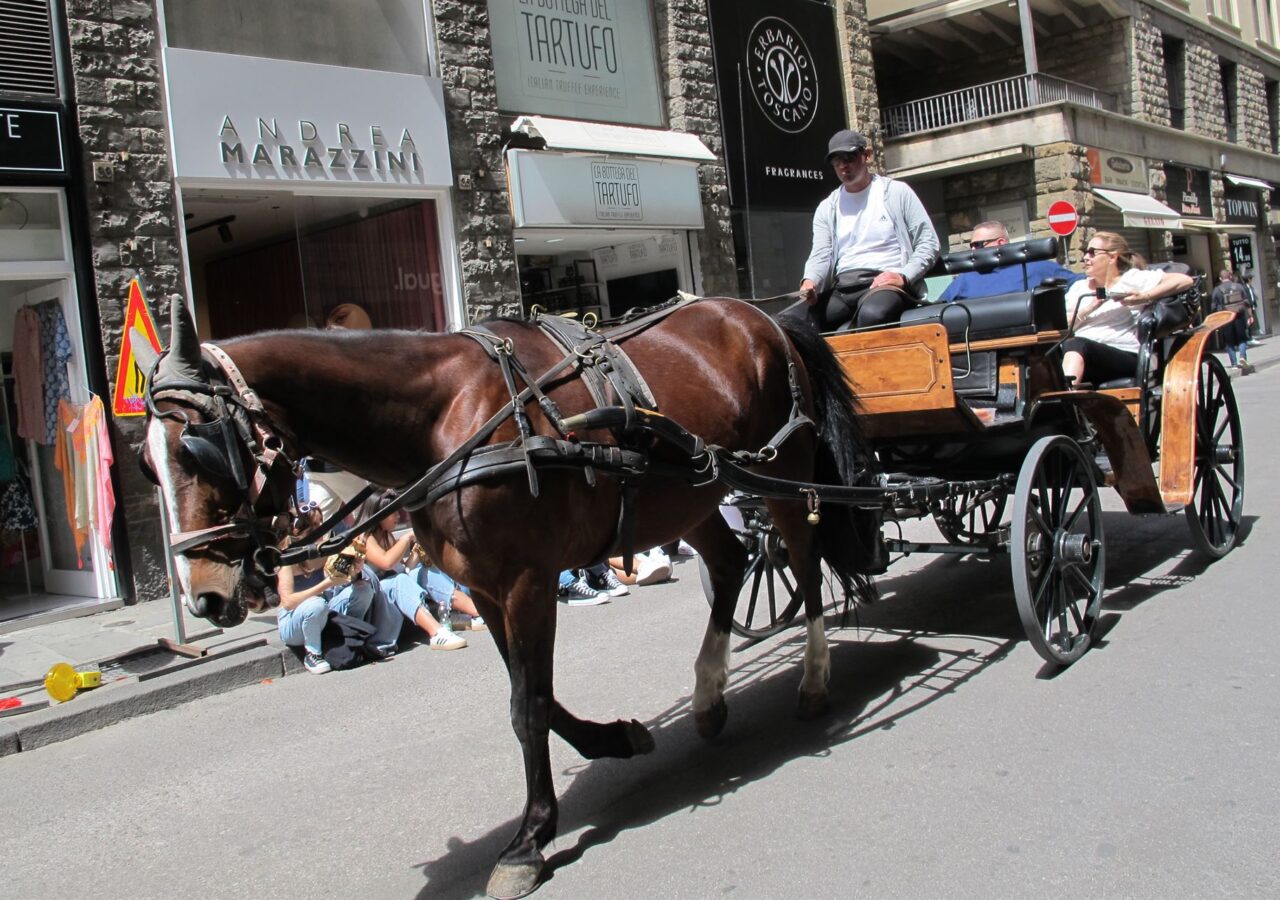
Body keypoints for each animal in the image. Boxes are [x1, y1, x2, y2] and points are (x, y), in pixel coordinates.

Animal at [140, 297, 875, 900]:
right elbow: (534, 695)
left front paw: (529, 839)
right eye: (148, 467)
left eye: (199, 449)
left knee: (804, 566)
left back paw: (813, 681)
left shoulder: (526, 580)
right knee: (730, 567)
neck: (445, 417)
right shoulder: (485, 589)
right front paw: (613, 740)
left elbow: (528, 706)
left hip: (784, 472)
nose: (204, 598)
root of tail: (762, 315)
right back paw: (709, 693)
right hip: (692, 493)